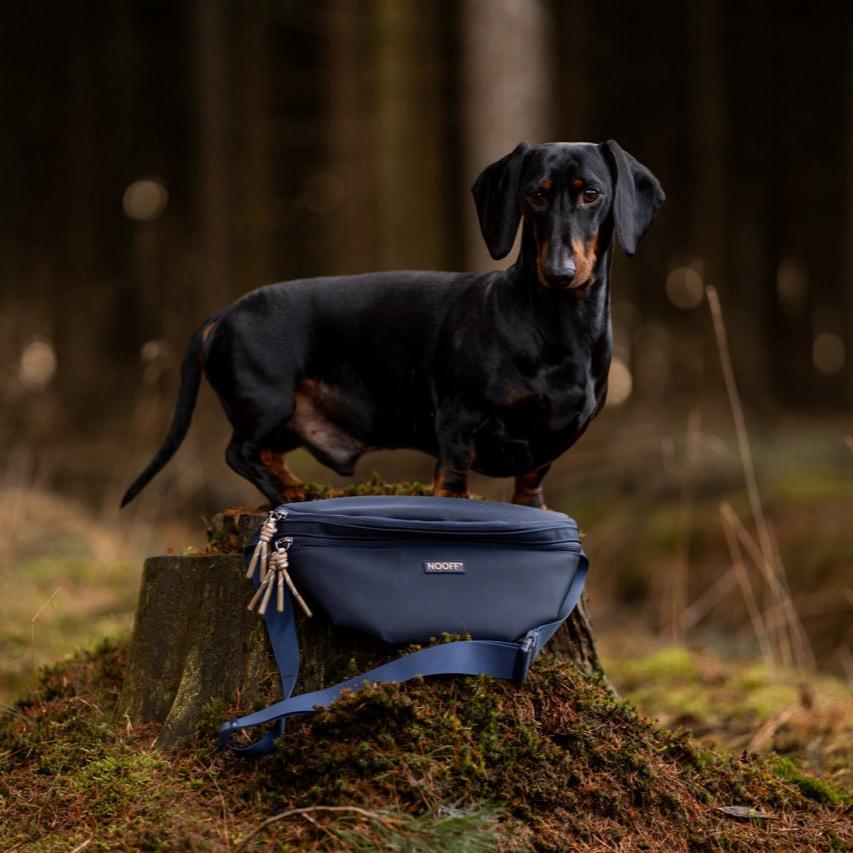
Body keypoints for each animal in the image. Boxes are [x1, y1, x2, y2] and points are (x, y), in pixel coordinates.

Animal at [121, 141, 664, 506]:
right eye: (535, 195)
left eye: (591, 194)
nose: (559, 273)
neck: (553, 326)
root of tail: (223, 315)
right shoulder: (458, 422)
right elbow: (452, 479)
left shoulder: (552, 442)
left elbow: (530, 485)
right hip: (266, 402)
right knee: (240, 452)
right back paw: (288, 495)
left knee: (267, 454)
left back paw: (295, 487)